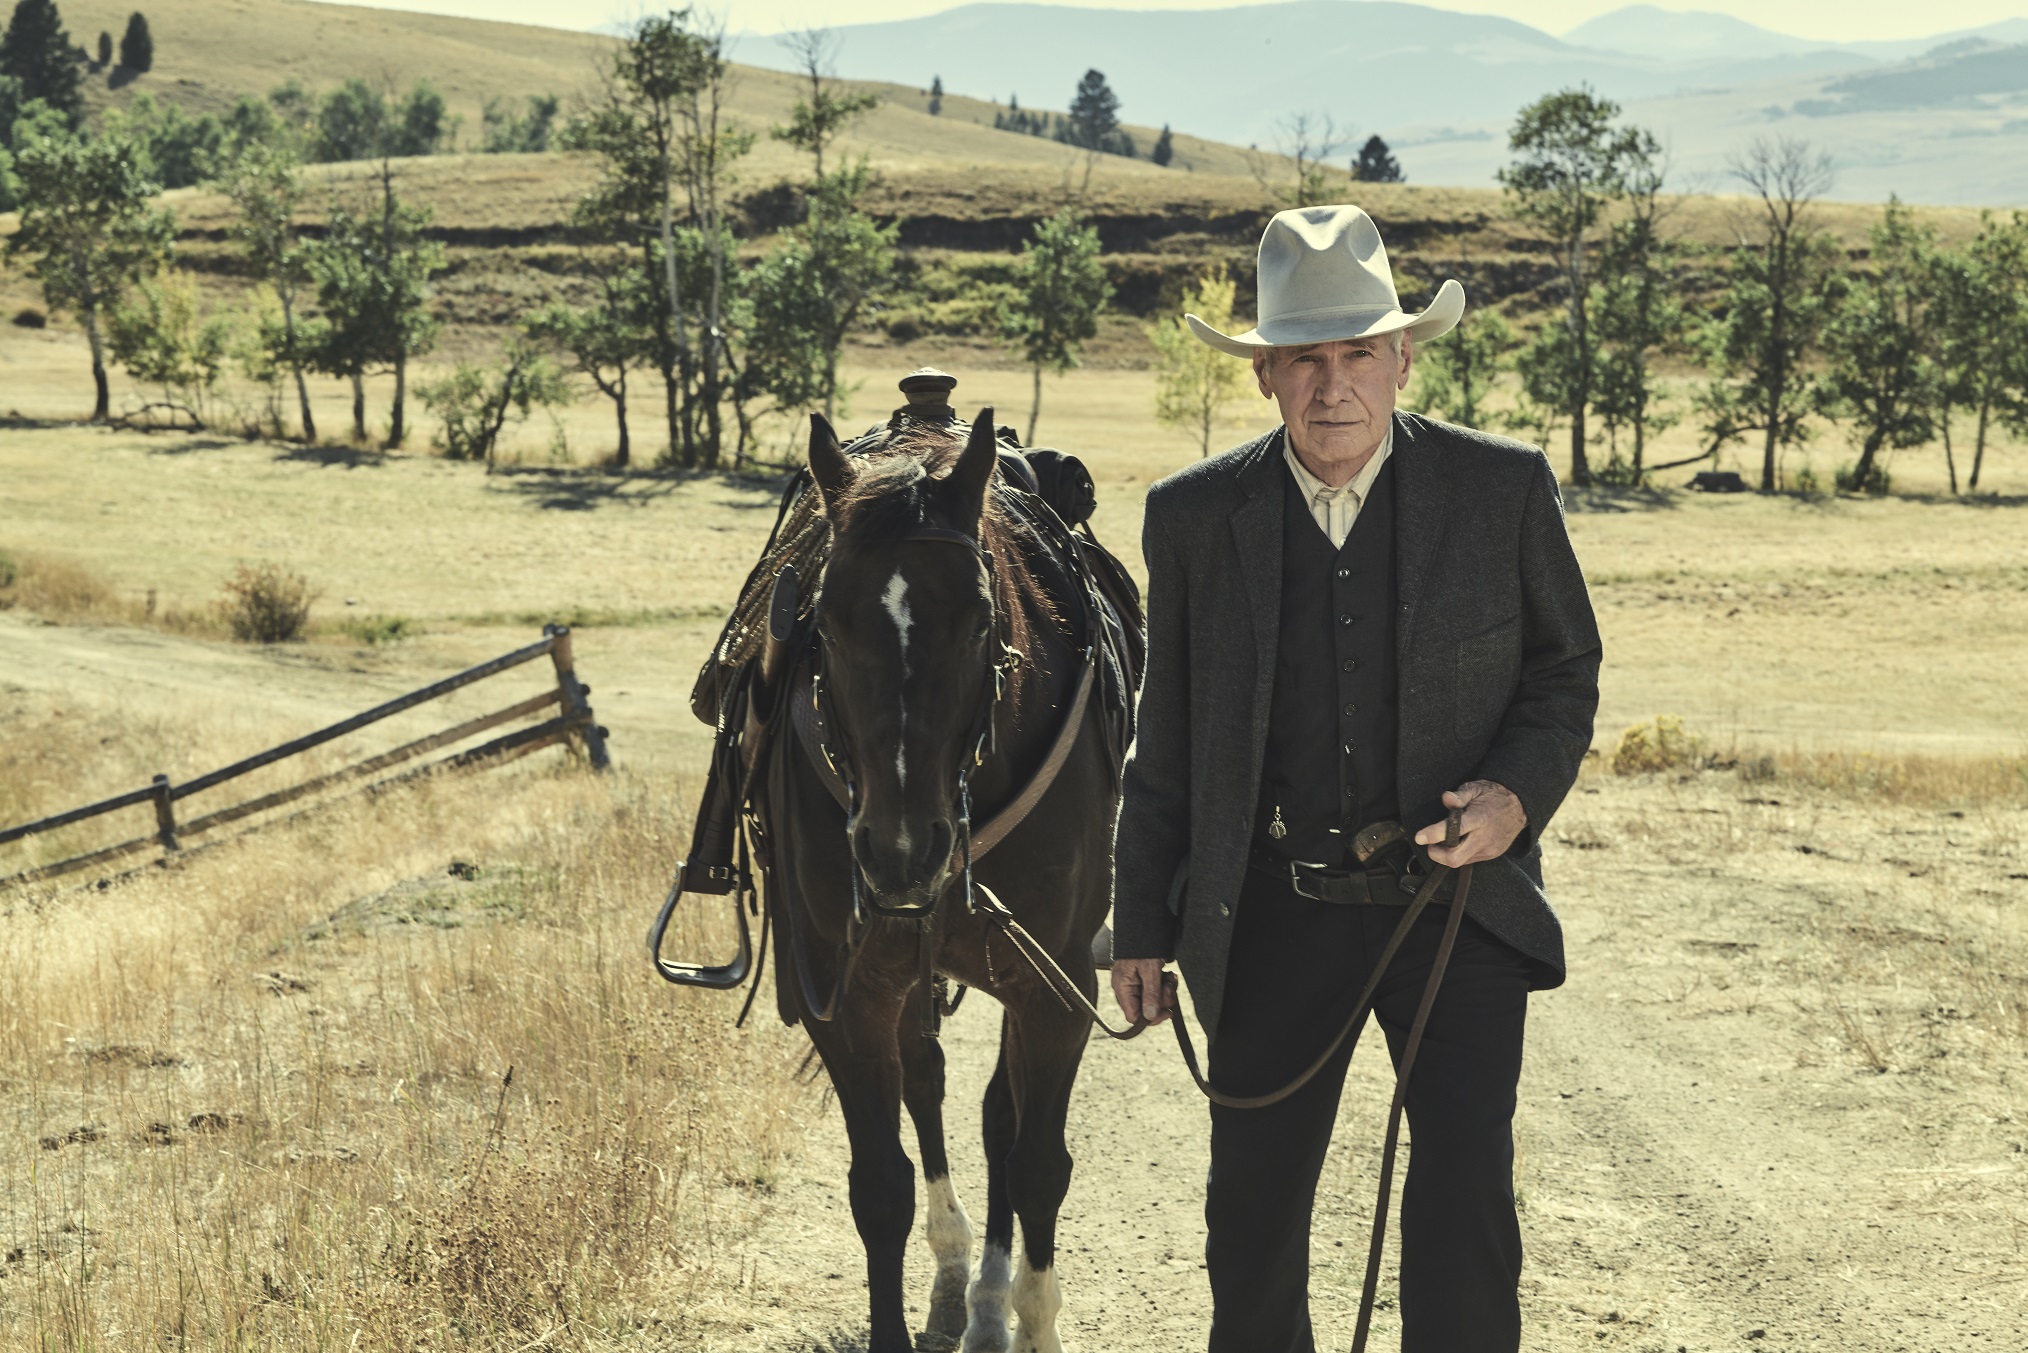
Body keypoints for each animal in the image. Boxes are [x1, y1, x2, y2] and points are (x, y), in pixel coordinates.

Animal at [750, 415, 1127, 1353]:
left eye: (979, 617)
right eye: (825, 619)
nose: (900, 851)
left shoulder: (1057, 985)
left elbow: (1038, 1163)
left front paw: (1033, 1316)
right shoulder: (846, 992)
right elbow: (879, 1183)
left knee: (1000, 1122)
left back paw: (992, 1300)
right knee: (927, 1084)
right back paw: (959, 1276)